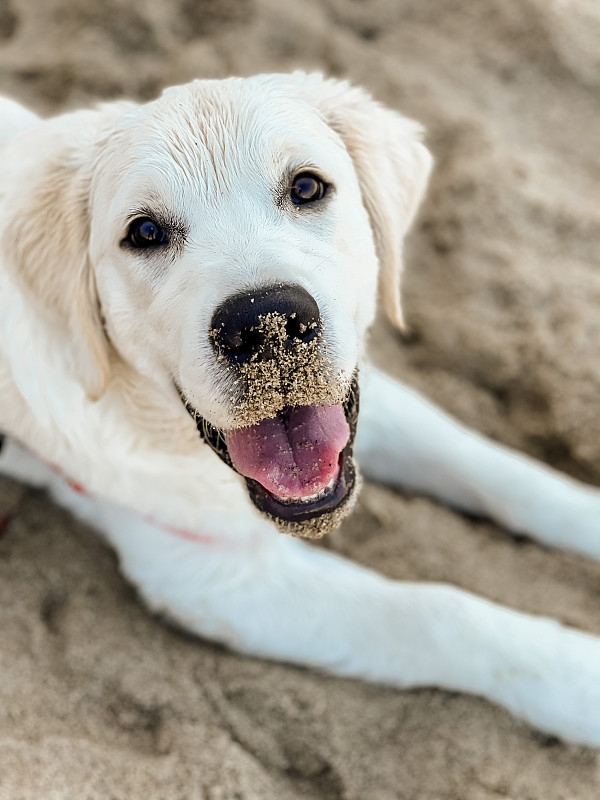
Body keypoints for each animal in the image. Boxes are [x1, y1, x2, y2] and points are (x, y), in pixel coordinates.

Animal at [1, 72, 600, 748]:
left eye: (307, 187)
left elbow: (500, 471)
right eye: (145, 233)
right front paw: (582, 682)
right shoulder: (209, 575)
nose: (265, 324)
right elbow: (434, 611)